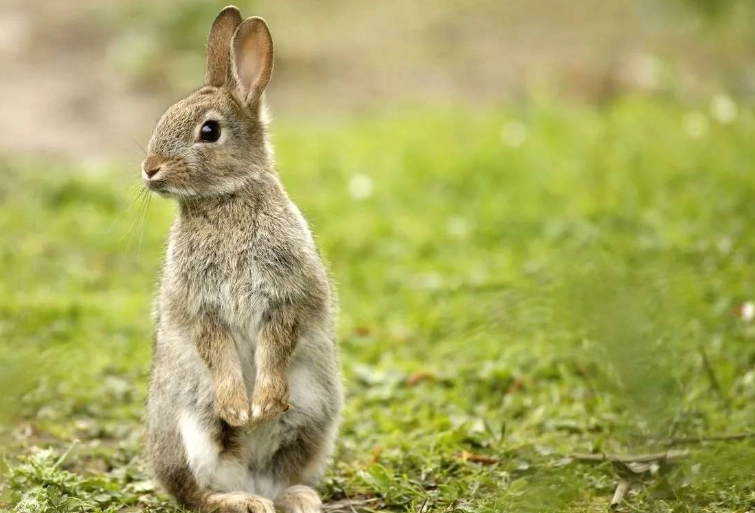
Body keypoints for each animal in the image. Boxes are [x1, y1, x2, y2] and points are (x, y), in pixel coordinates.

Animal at [141, 6, 343, 513]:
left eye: (209, 131)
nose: (149, 169)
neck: (225, 198)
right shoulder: (203, 309)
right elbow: (216, 351)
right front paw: (238, 408)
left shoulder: (285, 297)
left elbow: (276, 343)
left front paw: (263, 405)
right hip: (189, 430)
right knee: (198, 494)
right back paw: (243, 501)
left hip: (314, 420)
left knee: (284, 474)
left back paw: (294, 498)